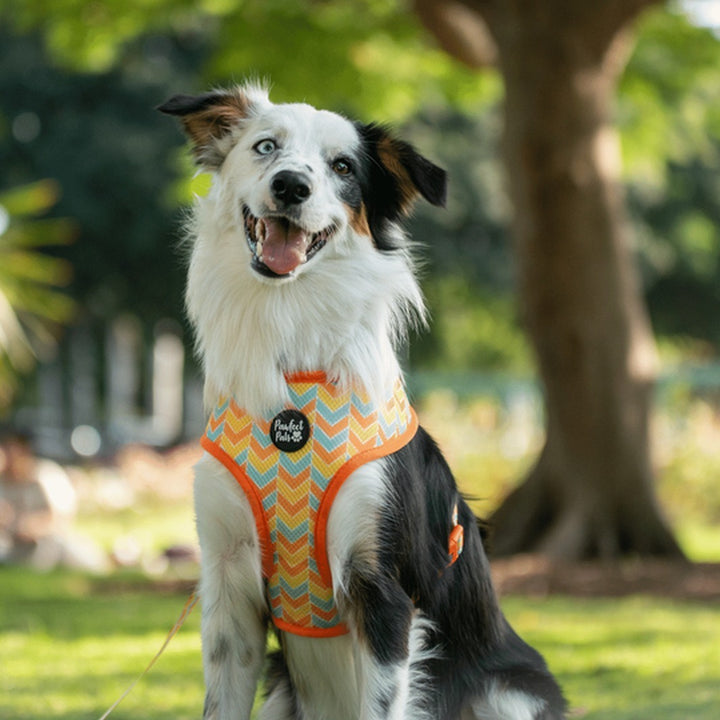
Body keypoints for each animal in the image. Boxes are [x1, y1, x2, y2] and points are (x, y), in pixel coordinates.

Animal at [160, 84, 564, 720]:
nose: (291, 186)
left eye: (343, 167)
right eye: (265, 146)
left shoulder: (383, 589)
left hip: (511, 693)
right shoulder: (227, 589)